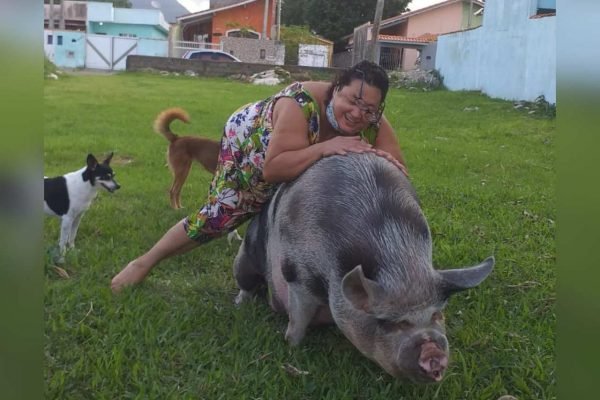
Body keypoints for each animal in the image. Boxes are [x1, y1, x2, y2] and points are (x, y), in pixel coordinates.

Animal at [232, 152, 494, 382]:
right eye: (388, 322)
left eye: (437, 314)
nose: (433, 352)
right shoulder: (296, 275)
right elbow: (298, 318)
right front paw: (291, 347)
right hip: (245, 259)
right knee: (245, 282)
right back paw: (240, 304)